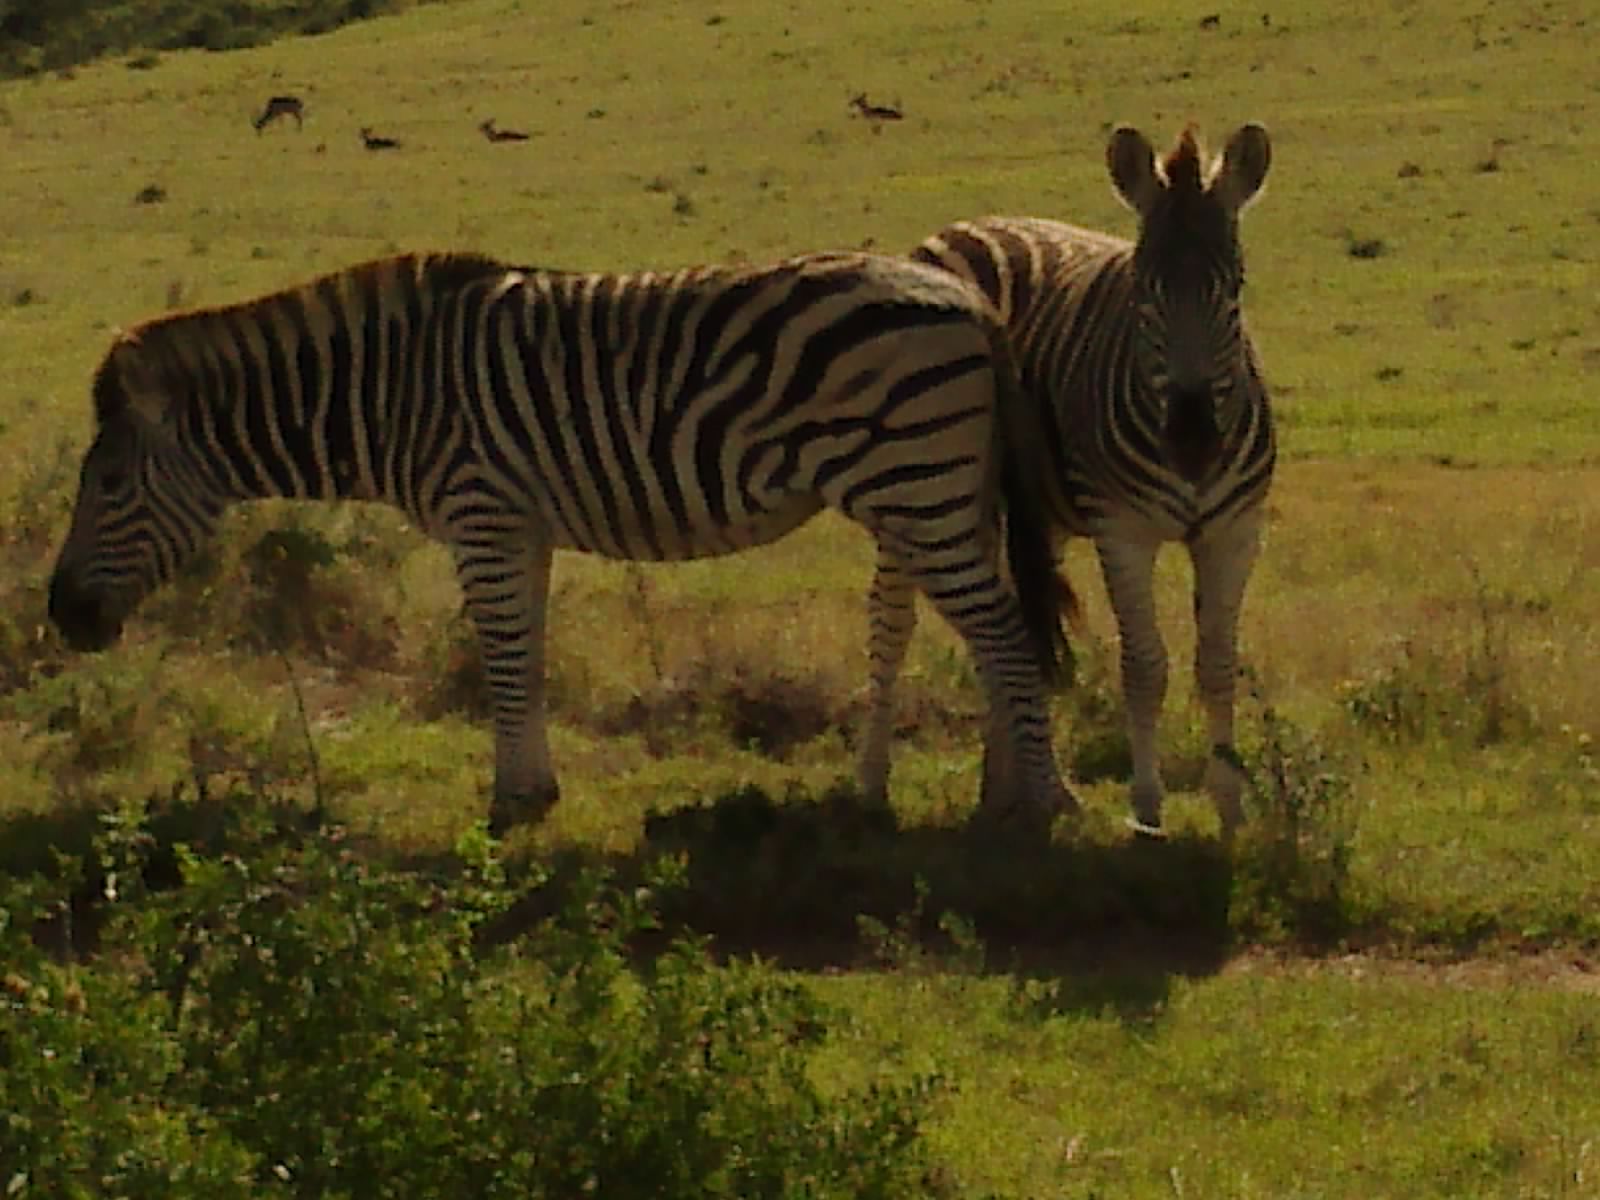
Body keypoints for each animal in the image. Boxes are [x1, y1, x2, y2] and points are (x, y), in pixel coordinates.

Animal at [47, 250, 1080, 834]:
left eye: (107, 484)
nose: (62, 619)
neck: (389, 393)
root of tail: (970, 299)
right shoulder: (521, 525)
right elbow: (530, 657)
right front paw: (536, 789)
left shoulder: (483, 516)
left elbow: (502, 659)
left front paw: (508, 805)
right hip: (940, 488)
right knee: (997, 632)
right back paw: (1004, 796)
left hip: (915, 482)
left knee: (1002, 633)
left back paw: (1043, 806)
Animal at [912, 122, 1275, 837]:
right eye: (1143, 289)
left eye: (1235, 287)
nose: (1192, 439)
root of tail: (969, 222)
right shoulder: (1121, 530)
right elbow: (1145, 667)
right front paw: (1147, 809)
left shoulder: (1234, 531)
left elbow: (1219, 666)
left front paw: (1229, 808)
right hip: (958, 493)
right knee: (988, 635)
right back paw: (1010, 793)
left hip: (1041, 517)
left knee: (1016, 625)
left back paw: (1014, 790)